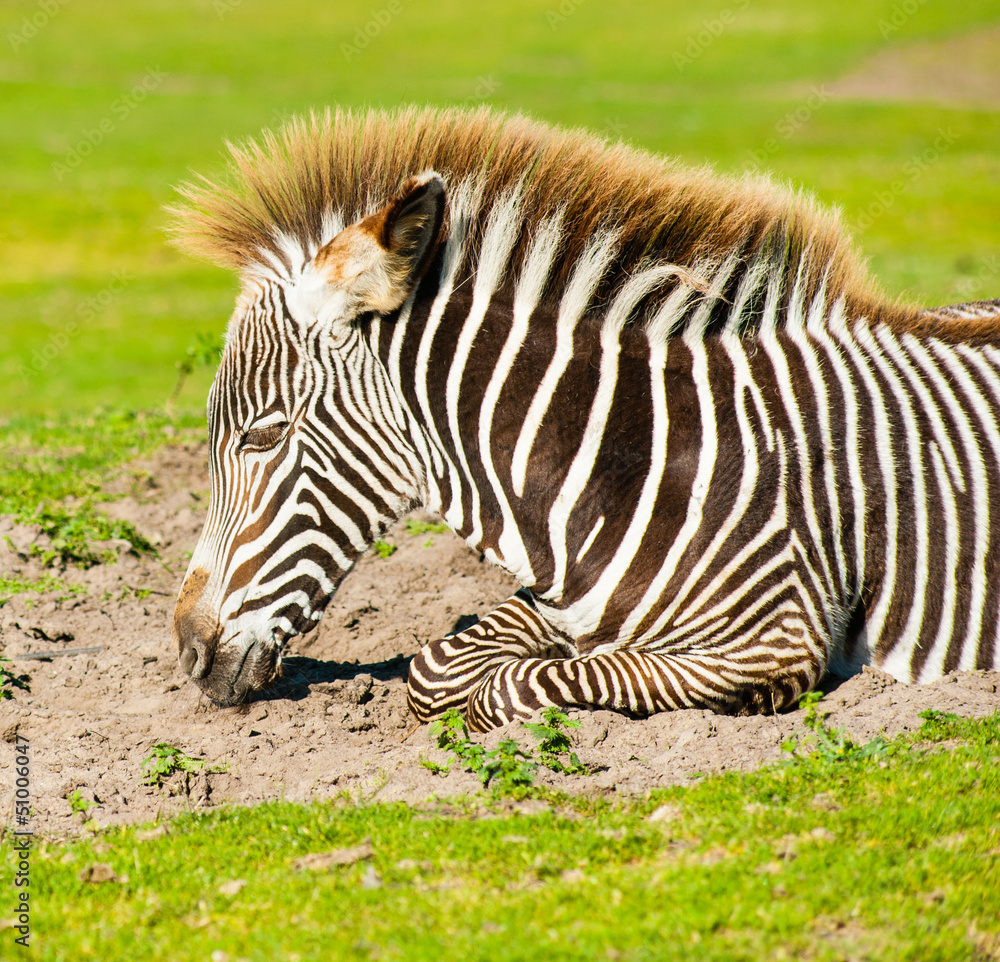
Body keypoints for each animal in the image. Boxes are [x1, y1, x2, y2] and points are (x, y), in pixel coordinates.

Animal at [170, 106, 1000, 731]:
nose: (187, 652)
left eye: (264, 434)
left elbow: (512, 689)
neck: (625, 461)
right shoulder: (560, 600)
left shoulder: (775, 636)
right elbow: (435, 670)